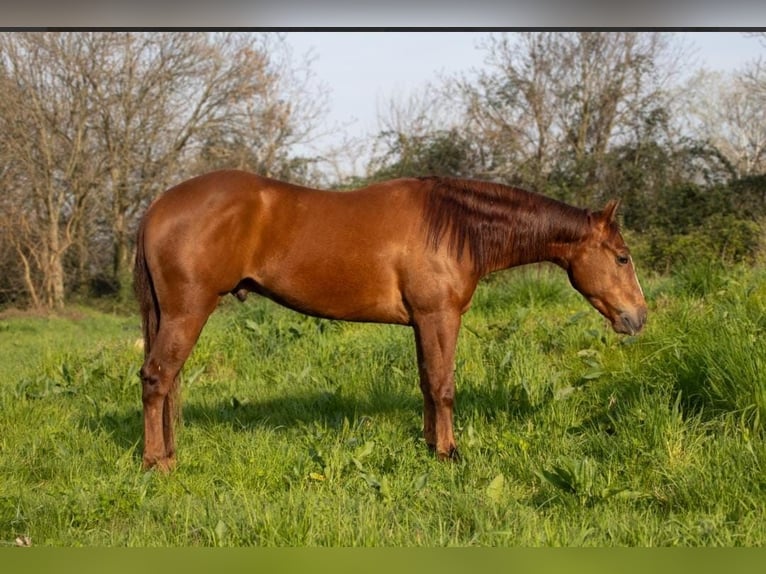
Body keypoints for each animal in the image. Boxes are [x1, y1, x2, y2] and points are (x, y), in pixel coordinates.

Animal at [134, 170, 647, 470]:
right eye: (622, 257)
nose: (638, 317)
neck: (455, 226)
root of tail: (157, 206)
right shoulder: (439, 317)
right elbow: (444, 386)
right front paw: (449, 453)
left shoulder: (423, 322)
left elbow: (427, 384)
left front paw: (430, 446)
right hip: (186, 313)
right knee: (156, 379)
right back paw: (157, 462)